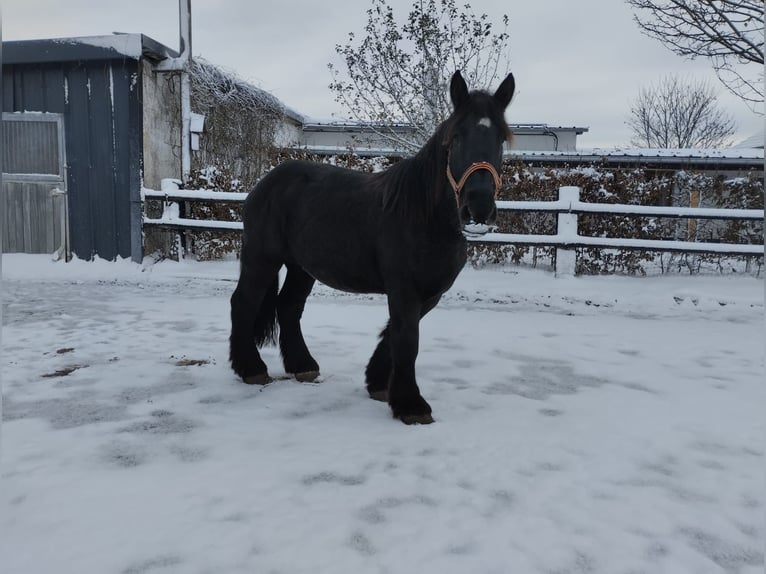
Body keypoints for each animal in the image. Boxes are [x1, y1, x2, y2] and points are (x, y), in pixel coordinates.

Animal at [228, 70, 516, 426]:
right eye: (457, 137)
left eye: (501, 139)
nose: (478, 208)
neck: (423, 215)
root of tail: (265, 182)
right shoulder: (404, 288)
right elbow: (407, 339)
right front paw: (411, 405)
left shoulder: (430, 292)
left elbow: (395, 334)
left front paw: (379, 383)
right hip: (261, 258)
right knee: (243, 303)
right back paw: (251, 369)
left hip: (301, 267)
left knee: (289, 307)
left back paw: (303, 366)